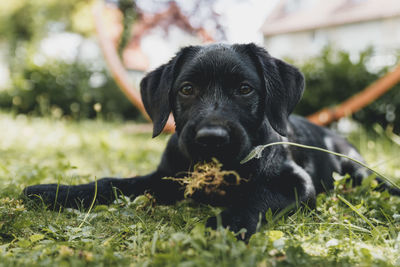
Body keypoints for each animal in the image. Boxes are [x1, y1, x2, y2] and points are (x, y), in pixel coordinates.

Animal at [23, 43, 398, 240]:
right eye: (187, 89)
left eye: (245, 89)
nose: (211, 138)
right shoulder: (163, 179)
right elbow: (111, 182)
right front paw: (55, 191)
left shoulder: (294, 182)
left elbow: (258, 196)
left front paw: (226, 223)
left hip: (356, 171)